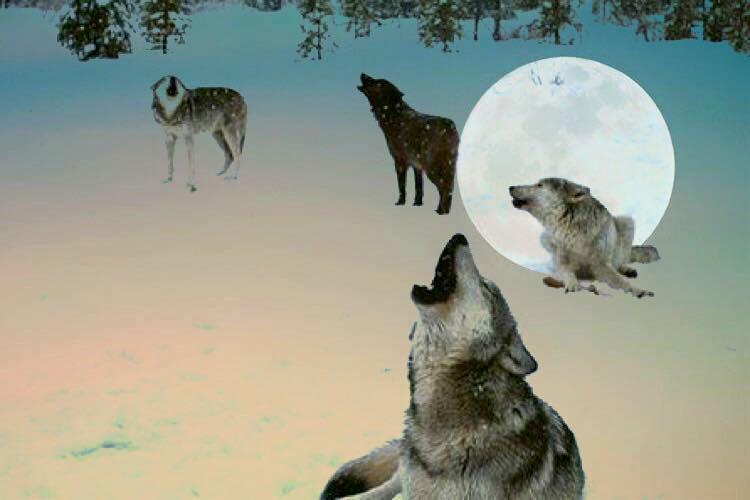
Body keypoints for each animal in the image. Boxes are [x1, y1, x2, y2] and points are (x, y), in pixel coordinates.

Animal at [357, 74, 458, 215]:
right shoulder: (417, 165)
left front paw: (400, 203)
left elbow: (402, 186)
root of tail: (449, 126)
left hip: (433, 167)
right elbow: (418, 187)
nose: (362, 73)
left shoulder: (399, 161)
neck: (394, 115)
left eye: (377, 82)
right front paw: (417, 204)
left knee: (445, 187)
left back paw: (441, 212)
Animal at [509, 178, 661, 298]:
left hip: (626, 222)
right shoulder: (561, 262)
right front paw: (572, 284)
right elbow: (567, 272)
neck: (572, 228)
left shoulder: (602, 265)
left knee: (621, 259)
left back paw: (627, 269)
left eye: (539, 185)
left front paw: (638, 290)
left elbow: (621, 281)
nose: (510, 187)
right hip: (545, 238)